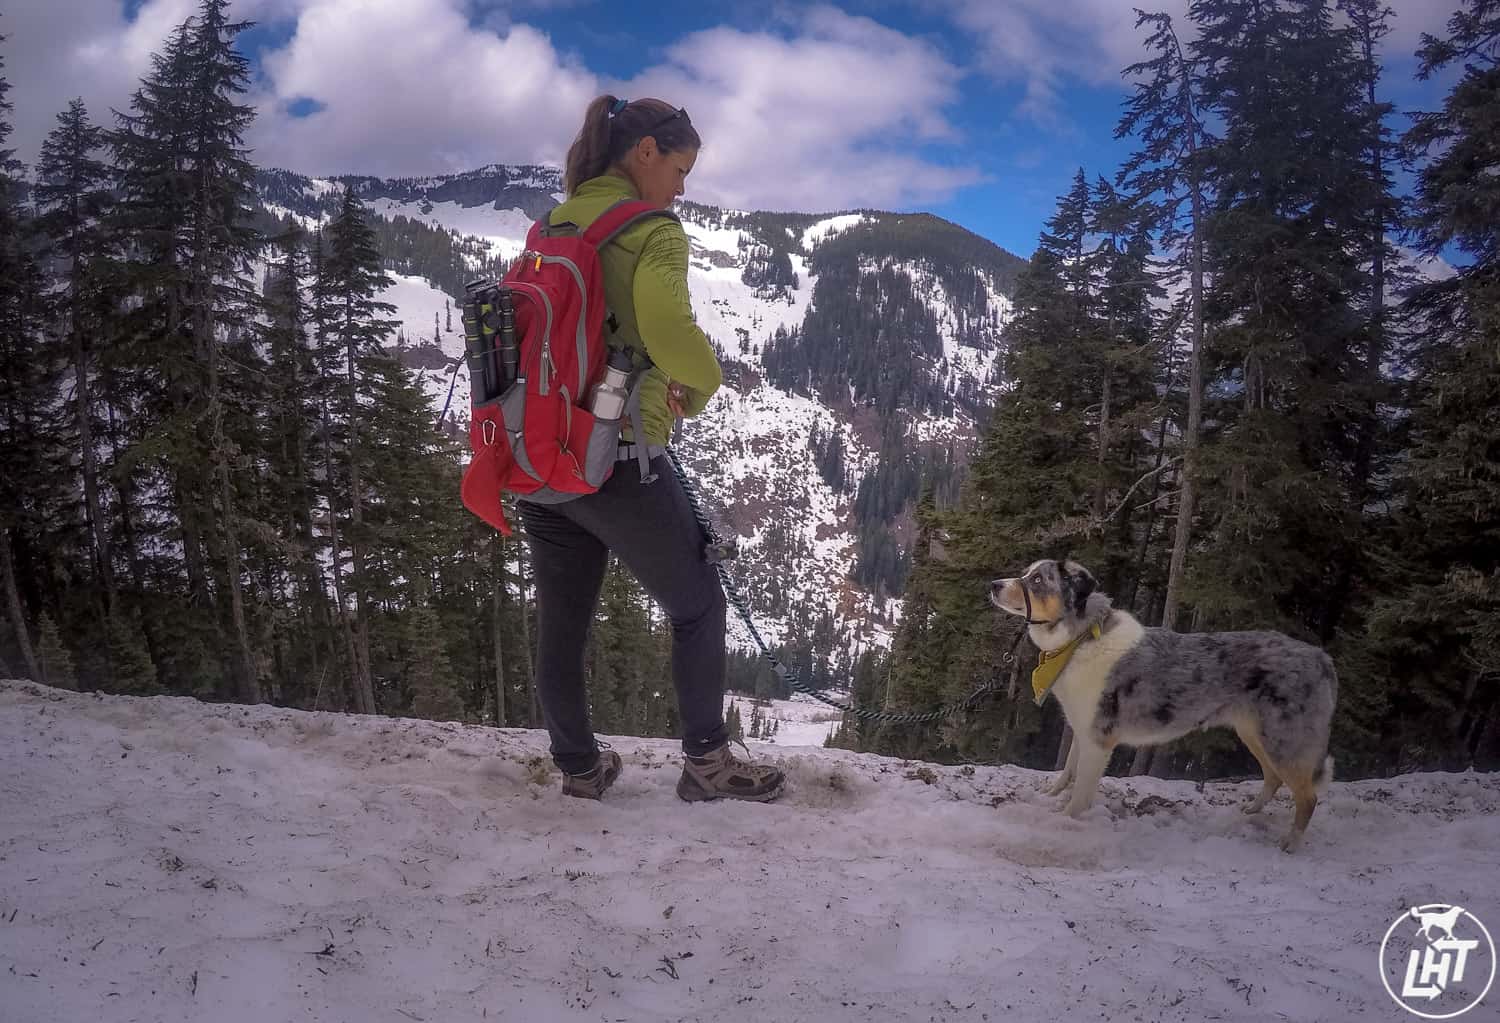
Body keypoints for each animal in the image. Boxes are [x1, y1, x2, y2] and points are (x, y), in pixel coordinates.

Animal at [990, 561, 1344, 846]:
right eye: (1027, 572)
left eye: (1038, 579)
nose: (993, 584)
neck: (1079, 640)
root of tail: (1322, 658)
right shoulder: (1082, 728)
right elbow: (1067, 772)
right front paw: (1048, 798)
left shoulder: (1098, 740)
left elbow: (1080, 792)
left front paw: (1063, 821)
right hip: (1256, 736)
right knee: (1273, 778)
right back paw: (1249, 812)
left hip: (1285, 741)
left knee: (1308, 796)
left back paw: (1291, 844)